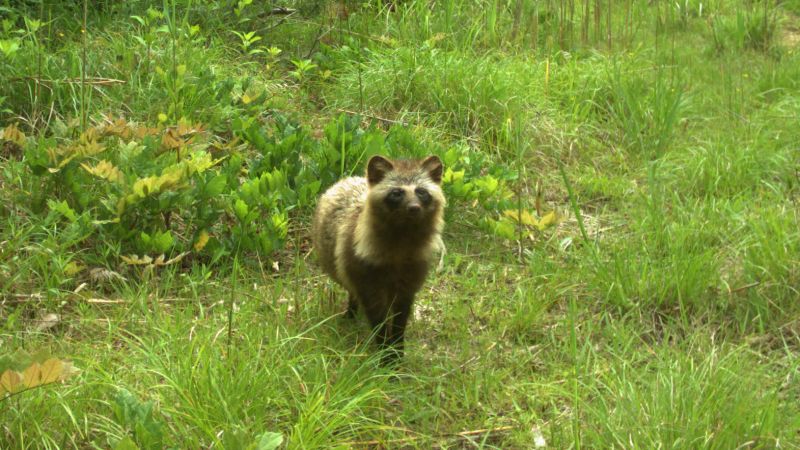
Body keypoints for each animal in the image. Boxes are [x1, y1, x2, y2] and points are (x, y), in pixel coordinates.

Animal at [312, 156, 446, 364]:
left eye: (421, 192)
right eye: (396, 193)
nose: (414, 208)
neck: (403, 237)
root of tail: (347, 179)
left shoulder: (410, 277)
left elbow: (400, 319)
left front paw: (397, 349)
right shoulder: (366, 275)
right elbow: (377, 319)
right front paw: (384, 352)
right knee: (352, 290)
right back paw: (352, 312)